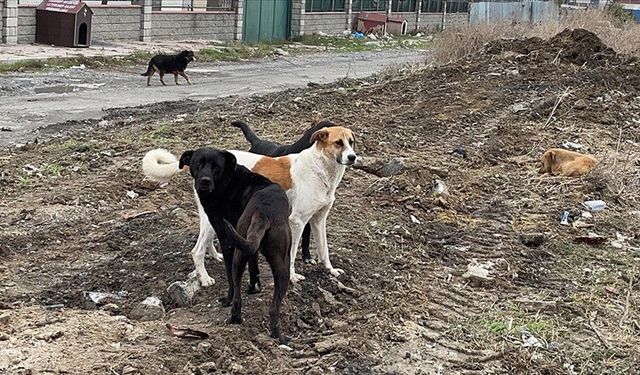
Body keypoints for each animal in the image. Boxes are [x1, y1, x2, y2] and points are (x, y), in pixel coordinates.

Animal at [179, 147, 292, 344]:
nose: (205, 182)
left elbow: (230, 277)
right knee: (271, 307)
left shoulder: (226, 240)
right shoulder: (247, 245)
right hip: (277, 263)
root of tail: (263, 211)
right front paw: (254, 287)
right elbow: (253, 264)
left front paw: (229, 298)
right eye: (198, 163)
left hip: (242, 254)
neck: (227, 180)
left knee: (238, 289)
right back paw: (269, 332)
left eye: (216, 167)